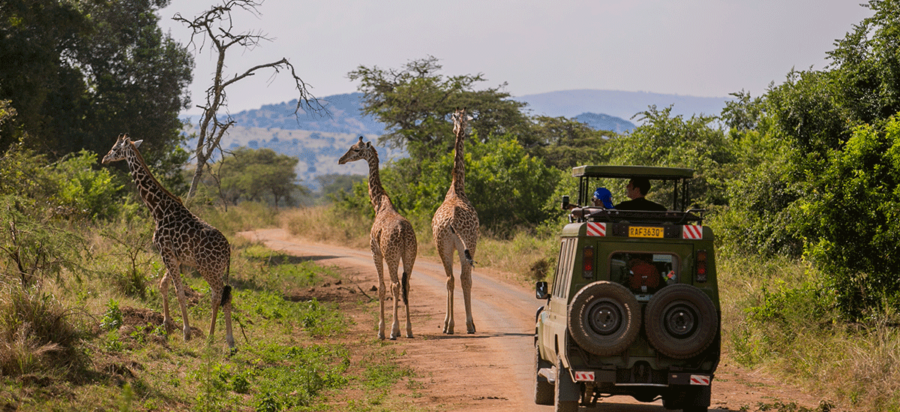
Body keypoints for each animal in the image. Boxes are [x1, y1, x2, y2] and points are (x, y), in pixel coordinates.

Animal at [102, 134, 236, 350]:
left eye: (115, 148)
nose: (104, 158)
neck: (158, 209)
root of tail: (228, 249)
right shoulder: (174, 256)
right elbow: (163, 285)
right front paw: (166, 324)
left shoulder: (166, 252)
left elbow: (179, 292)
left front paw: (186, 333)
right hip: (218, 269)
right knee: (224, 295)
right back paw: (226, 340)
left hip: (208, 268)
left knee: (219, 294)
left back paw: (215, 338)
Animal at [342, 137, 418, 340]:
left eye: (356, 149)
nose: (341, 160)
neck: (379, 204)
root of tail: (402, 232)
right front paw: (398, 329)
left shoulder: (375, 252)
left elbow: (382, 287)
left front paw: (381, 330)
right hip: (410, 255)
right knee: (406, 284)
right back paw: (409, 330)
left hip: (391, 256)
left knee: (395, 285)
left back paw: (392, 331)